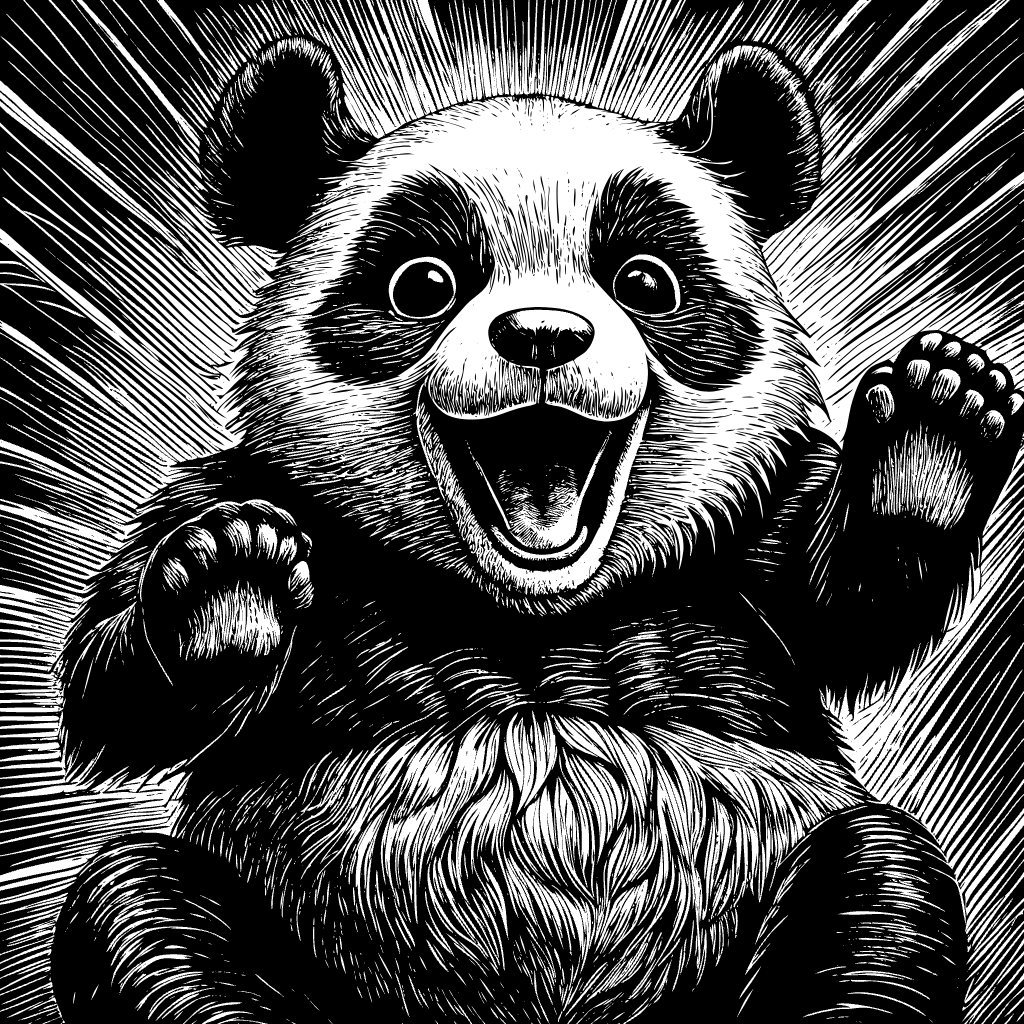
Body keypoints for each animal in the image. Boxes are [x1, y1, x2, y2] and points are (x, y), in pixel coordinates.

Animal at [50, 36, 1023, 1024]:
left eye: (646, 280)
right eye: (423, 283)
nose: (545, 335)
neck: (535, 613)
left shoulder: (739, 537)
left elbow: (843, 602)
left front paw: (932, 429)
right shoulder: (266, 493)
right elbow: (114, 689)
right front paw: (229, 579)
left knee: (879, 889)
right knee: (143, 915)